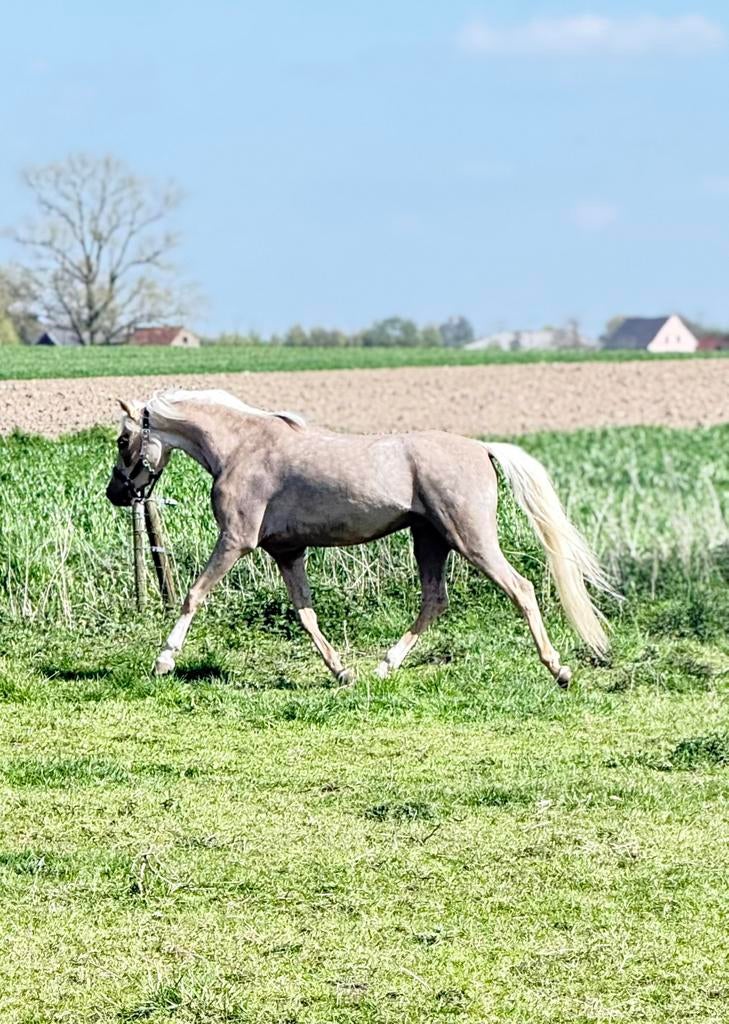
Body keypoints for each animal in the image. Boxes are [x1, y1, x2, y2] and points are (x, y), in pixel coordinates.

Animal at [106, 388, 614, 687]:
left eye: (121, 440)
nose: (116, 493)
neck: (240, 448)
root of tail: (482, 448)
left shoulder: (235, 541)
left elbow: (193, 595)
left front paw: (163, 661)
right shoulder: (287, 552)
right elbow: (306, 615)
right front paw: (342, 672)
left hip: (470, 539)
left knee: (521, 589)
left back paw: (560, 670)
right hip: (430, 540)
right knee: (435, 600)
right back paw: (384, 667)